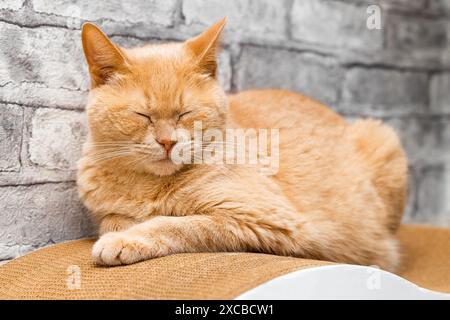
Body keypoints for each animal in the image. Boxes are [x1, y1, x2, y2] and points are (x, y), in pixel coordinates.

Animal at [76, 18, 408, 272]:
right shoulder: (106, 211)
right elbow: (112, 220)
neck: (148, 186)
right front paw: (123, 229)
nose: (167, 142)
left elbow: (177, 224)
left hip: (383, 138)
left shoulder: (259, 219)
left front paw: (126, 240)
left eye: (185, 113)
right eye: (143, 115)